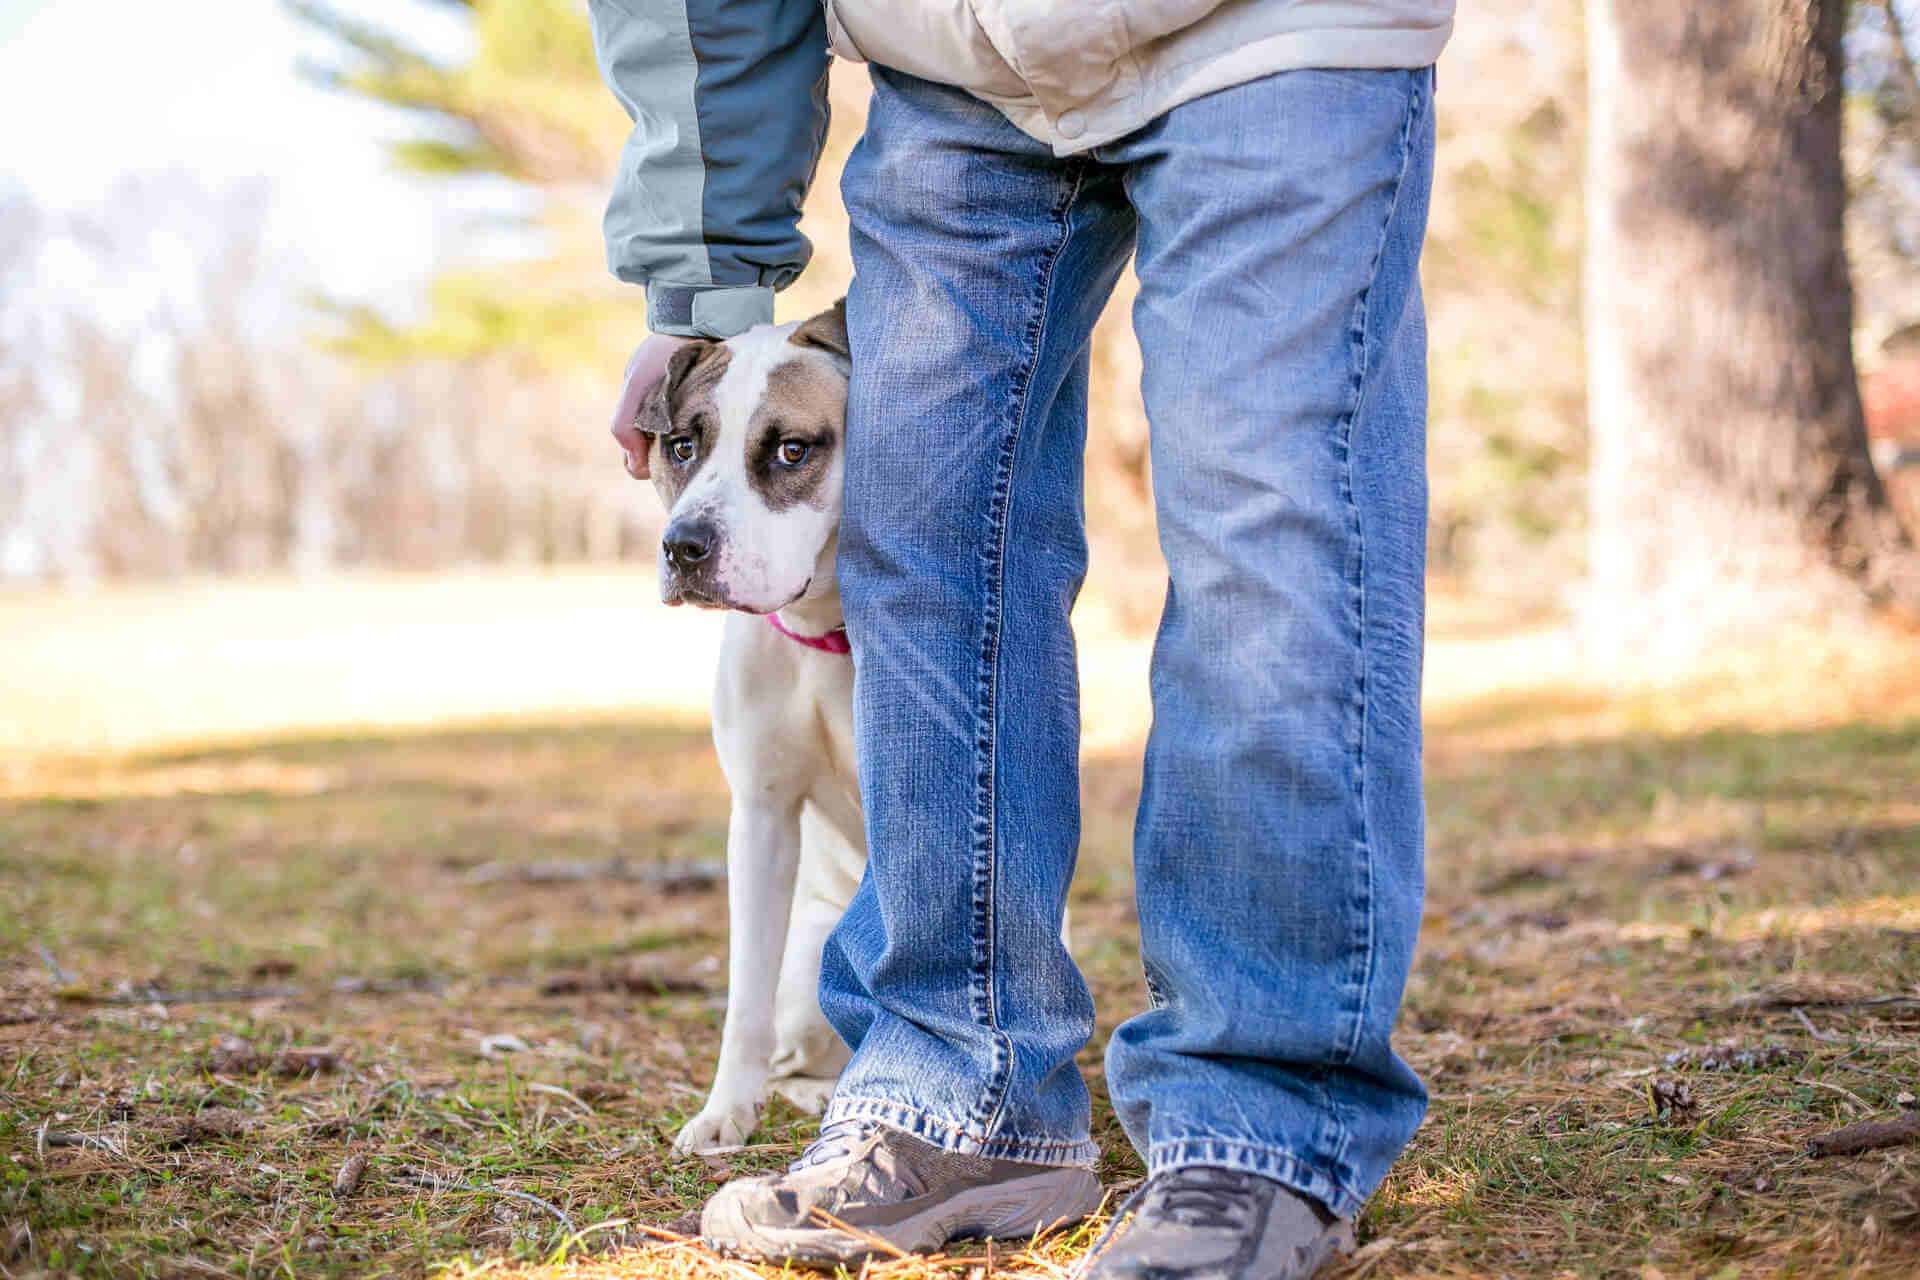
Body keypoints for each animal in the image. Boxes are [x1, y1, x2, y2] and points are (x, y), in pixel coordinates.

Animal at [629, 303, 864, 1159]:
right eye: (681, 446)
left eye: (792, 448)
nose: (683, 547)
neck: (829, 632)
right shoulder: (762, 817)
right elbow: (745, 994)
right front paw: (725, 1111)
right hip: (810, 970)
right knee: (799, 1051)